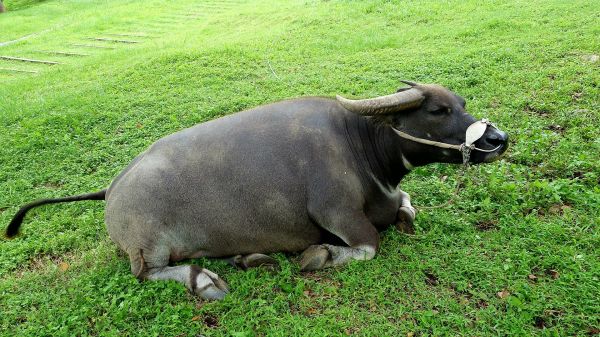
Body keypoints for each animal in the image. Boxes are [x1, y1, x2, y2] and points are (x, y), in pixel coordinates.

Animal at [7, 81, 508, 300]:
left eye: (462, 103)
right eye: (438, 110)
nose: (497, 139)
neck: (362, 147)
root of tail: (112, 188)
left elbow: (406, 207)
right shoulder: (337, 214)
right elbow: (369, 244)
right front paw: (320, 255)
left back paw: (249, 258)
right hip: (147, 248)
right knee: (147, 272)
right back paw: (206, 280)